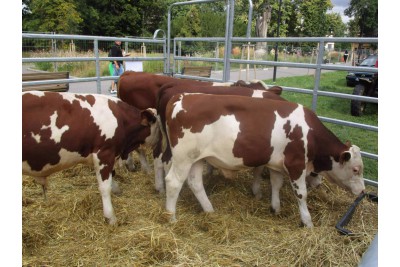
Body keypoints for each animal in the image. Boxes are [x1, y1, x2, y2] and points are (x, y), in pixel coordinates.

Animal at [163, 93, 366, 228]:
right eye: (356, 169)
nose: (363, 191)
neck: (310, 134)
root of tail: (182, 97)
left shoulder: (277, 164)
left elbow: (276, 184)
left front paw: (275, 208)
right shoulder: (296, 164)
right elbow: (302, 194)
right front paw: (307, 222)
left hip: (197, 158)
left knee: (195, 183)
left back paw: (209, 209)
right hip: (183, 157)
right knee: (173, 182)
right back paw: (171, 217)